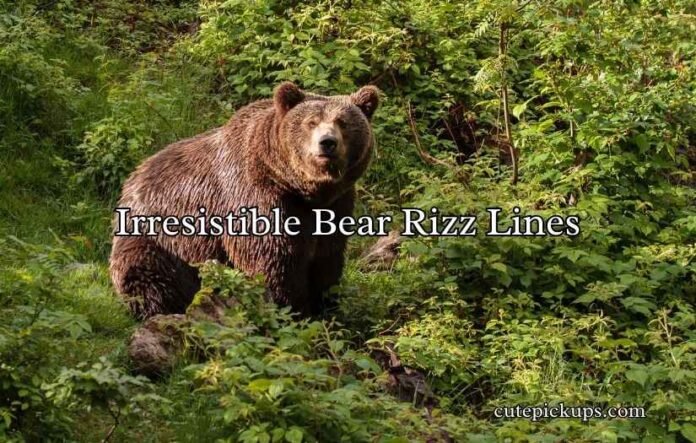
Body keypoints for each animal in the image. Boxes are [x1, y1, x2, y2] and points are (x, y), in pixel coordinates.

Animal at [109, 82, 380, 319]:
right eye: (310, 122)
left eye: (343, 122)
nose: (327, 143)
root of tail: (133, 177)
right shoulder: (256, 195)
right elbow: (272, 260)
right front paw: (292, 310)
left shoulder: (336, 204)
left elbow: (326, 260)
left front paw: (327, 308)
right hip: (157, 237)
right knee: (147, 275)